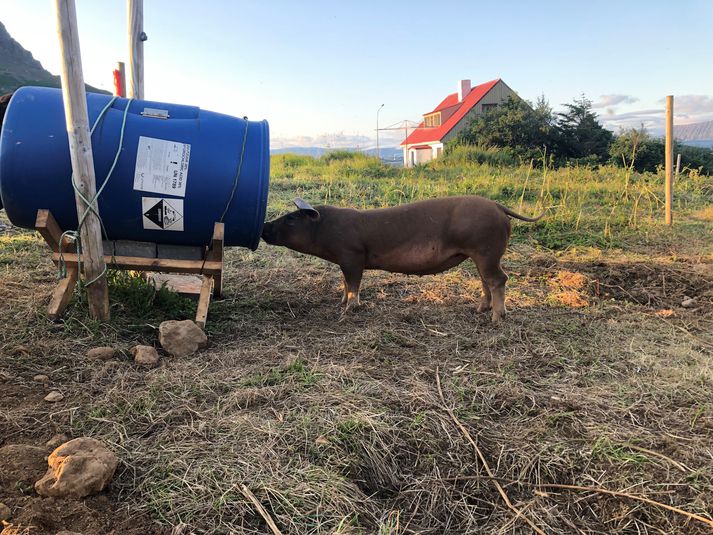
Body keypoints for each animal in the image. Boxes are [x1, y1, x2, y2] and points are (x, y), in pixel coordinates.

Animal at [262, 197, 544, 322]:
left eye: (291, 218)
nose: (264, 226)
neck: (326, 229)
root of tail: (498, 206)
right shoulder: (345, 261)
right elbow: (344, 284)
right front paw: (339, 303)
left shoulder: (353, 256)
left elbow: (353, 284)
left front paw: (349, 309)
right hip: (479, 254)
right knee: (485, 280)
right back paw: (478, 310)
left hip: (486, 249)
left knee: (499, 279)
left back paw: (496, 319)